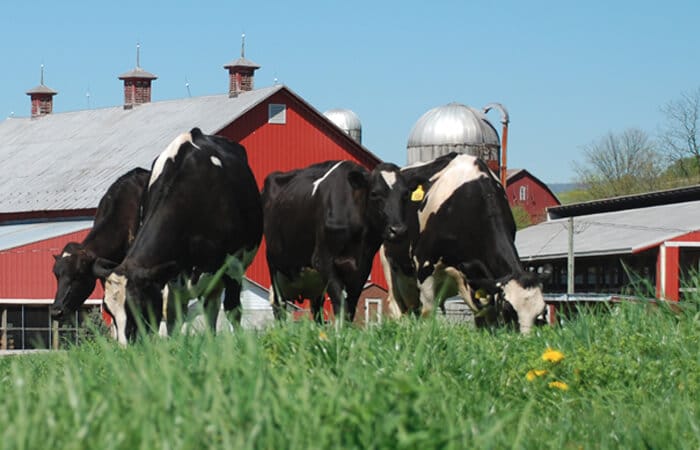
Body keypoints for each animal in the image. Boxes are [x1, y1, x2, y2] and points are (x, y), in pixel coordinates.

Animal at [94, 128, 264, 346]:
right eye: (109, 311)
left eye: (139, 306)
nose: (126, 348)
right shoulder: (173, 275)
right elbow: (174, 317)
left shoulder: (234, 262)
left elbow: (233, 309)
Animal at [264, 160, 412, 322]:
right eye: (374, 193)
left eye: (406, 194)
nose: (398, 230)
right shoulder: (323, 260)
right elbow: (340, 302)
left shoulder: (363, 266)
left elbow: (351, 305)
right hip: (274, 266)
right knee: (279, 305)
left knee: (317, 308)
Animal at [380, 153, 548, 332]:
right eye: (508, 310)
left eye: (541, 314)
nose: (524, 338)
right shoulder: (425, 265)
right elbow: (428, 313)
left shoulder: (481, 277)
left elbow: (486, 315)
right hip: (390, 266)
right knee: (397, 306)